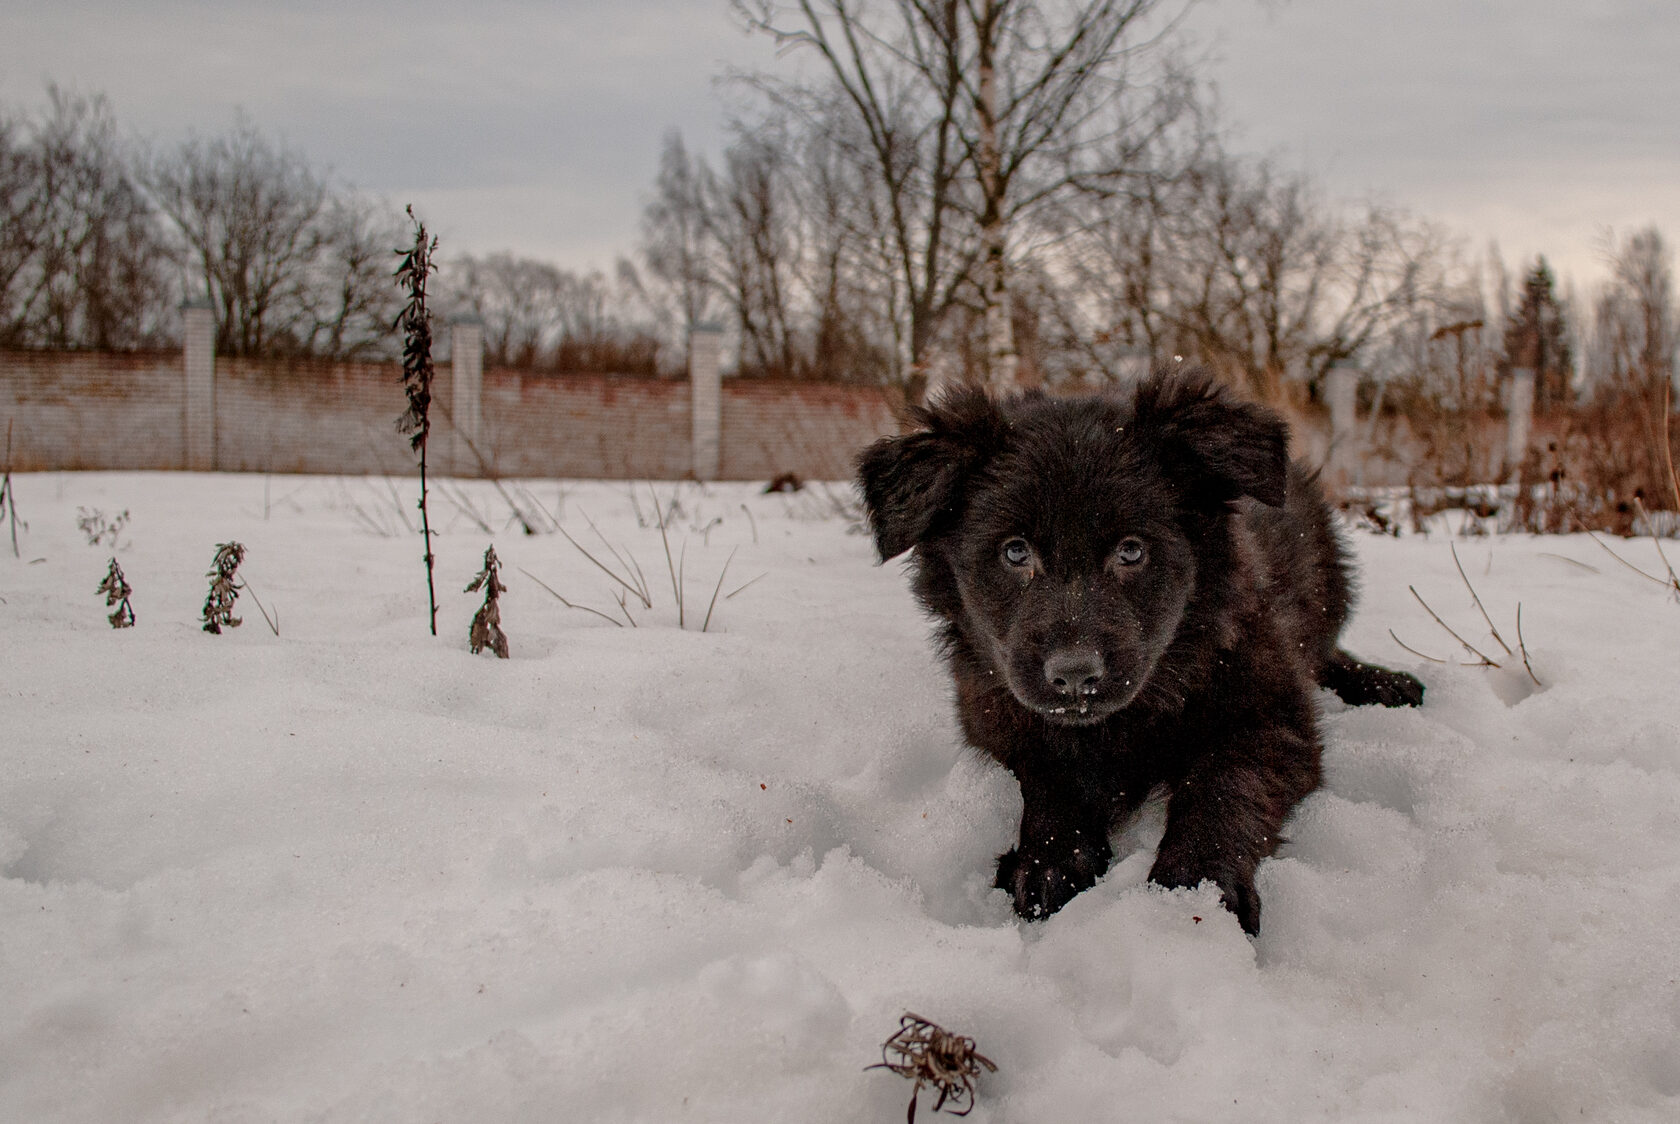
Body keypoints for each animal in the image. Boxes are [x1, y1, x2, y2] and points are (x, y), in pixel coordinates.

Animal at [860, 366, 1424, 927]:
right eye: (1015, 552)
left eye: (1131, 551)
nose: (1074, 675)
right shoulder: (994, 714)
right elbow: (1045, 775)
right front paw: (1049, 861)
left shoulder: (1270, 711)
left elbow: (1224, 784)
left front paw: (1195, 890)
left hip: (1328, 584)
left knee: (1325, 655)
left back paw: (1386, 684)